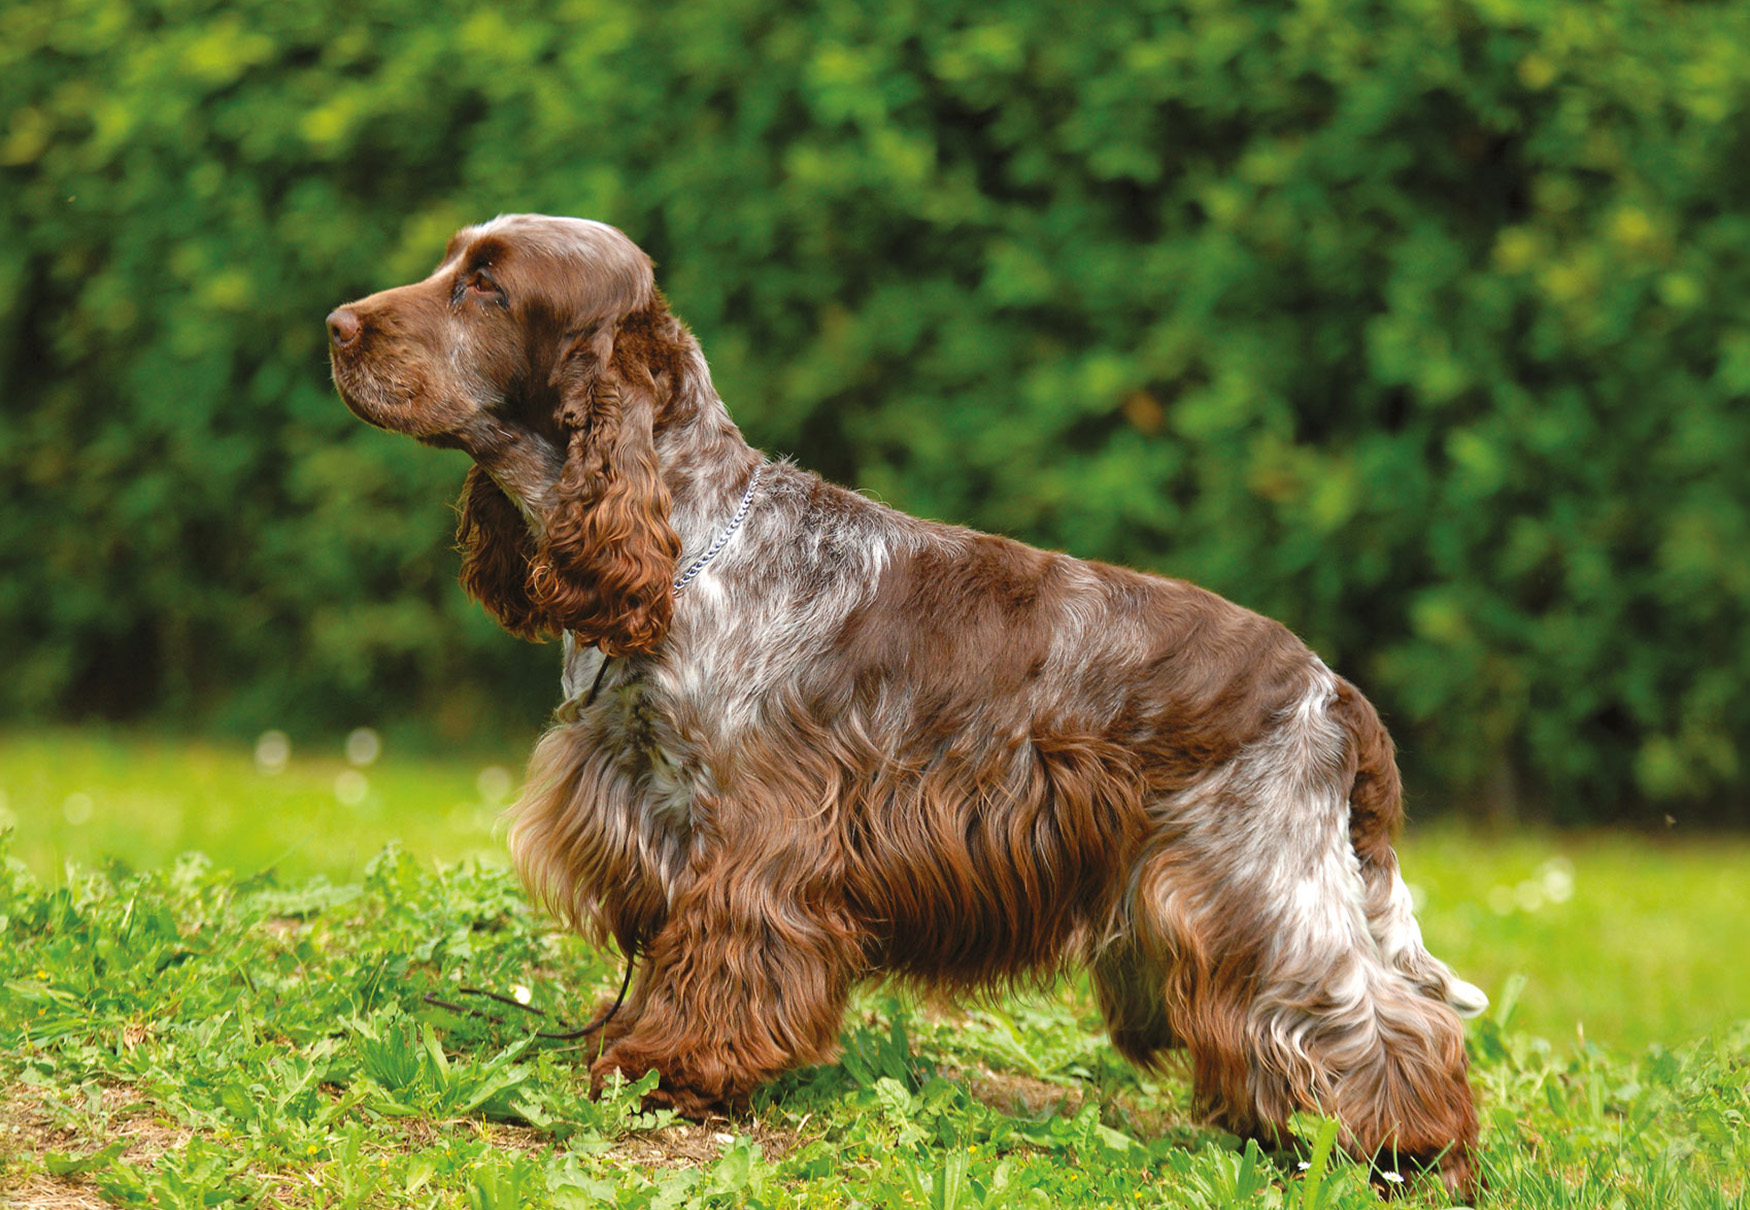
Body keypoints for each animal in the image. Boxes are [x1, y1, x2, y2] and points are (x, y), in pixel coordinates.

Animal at [330, 215, 1491, 1190]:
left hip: (1256, 882)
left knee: (1387, 1022)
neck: (691, 546)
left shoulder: (759, 841)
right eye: (452, 261)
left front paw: (665, 1067)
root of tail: (1332, 691)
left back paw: (1409, 1154)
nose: (336, 325)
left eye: (486, 284)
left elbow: (721, 964)